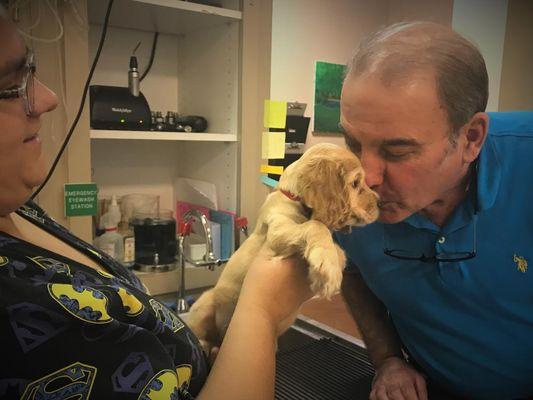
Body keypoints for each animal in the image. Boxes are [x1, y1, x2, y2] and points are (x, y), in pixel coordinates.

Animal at [187, 143, 378, 354]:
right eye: (355, 183)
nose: (379, 202)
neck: (294, 198)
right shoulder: (277, 229)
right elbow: (315, 226)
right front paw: (327, 270)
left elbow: (339, 251)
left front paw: (325, 266)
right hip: (205, 302)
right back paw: (204, 345)